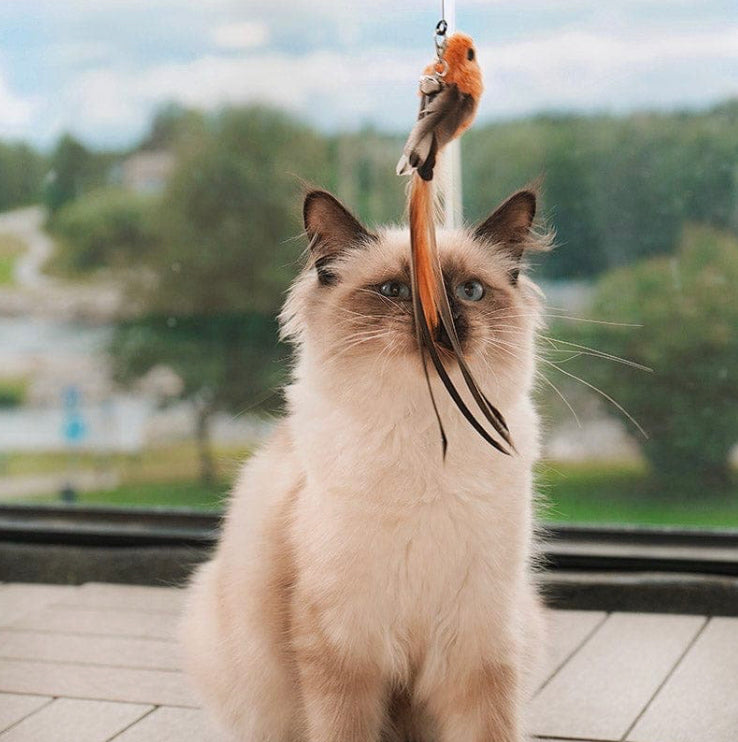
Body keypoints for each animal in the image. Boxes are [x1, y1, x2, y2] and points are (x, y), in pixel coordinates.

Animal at [181, 186, 552, 742]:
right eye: (394, 290)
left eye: (469, 291)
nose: (441, 322)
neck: (429, 440)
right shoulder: (343, 647)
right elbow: (344, 730)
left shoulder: (478, 645)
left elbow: (492, 729)